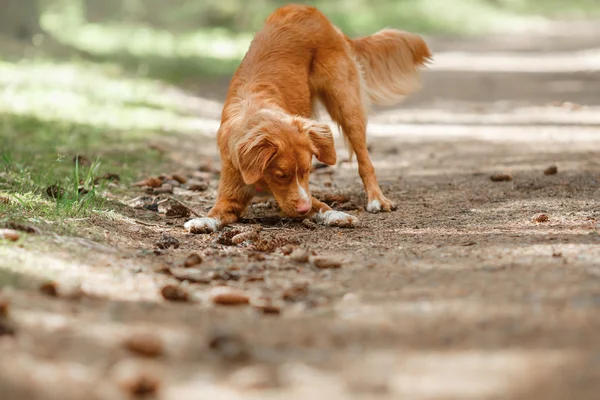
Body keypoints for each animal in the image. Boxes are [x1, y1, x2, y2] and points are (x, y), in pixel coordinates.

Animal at [184, 3, 432, 233]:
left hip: (345, 103)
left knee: (365, 161)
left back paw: (376, 199)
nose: (303, 209)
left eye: (307, 171)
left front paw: (339, 215)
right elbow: (215, 212)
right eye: (280, 175)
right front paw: (201, 221)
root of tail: (307, 8)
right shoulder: (230, 194)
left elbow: (321, 205)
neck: (256, 109)